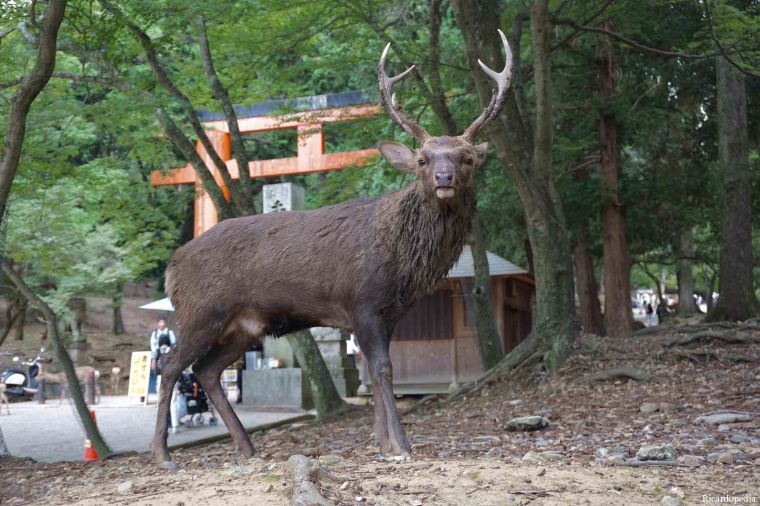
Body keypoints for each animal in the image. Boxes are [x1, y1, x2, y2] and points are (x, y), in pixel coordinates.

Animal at [152, 30, 512, 469]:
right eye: (423, 159)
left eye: (467, 158)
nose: (445, 177)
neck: (401, 261)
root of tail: (172, 266)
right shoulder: (362, 301)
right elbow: (383, 369)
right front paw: (401, 445)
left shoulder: (389, 313)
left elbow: (372, 371)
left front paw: (382, 442)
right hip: (201, 311)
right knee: (171, 366)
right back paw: (162, 454)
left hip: (244, 325)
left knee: (206, 371)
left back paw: (247, 447)